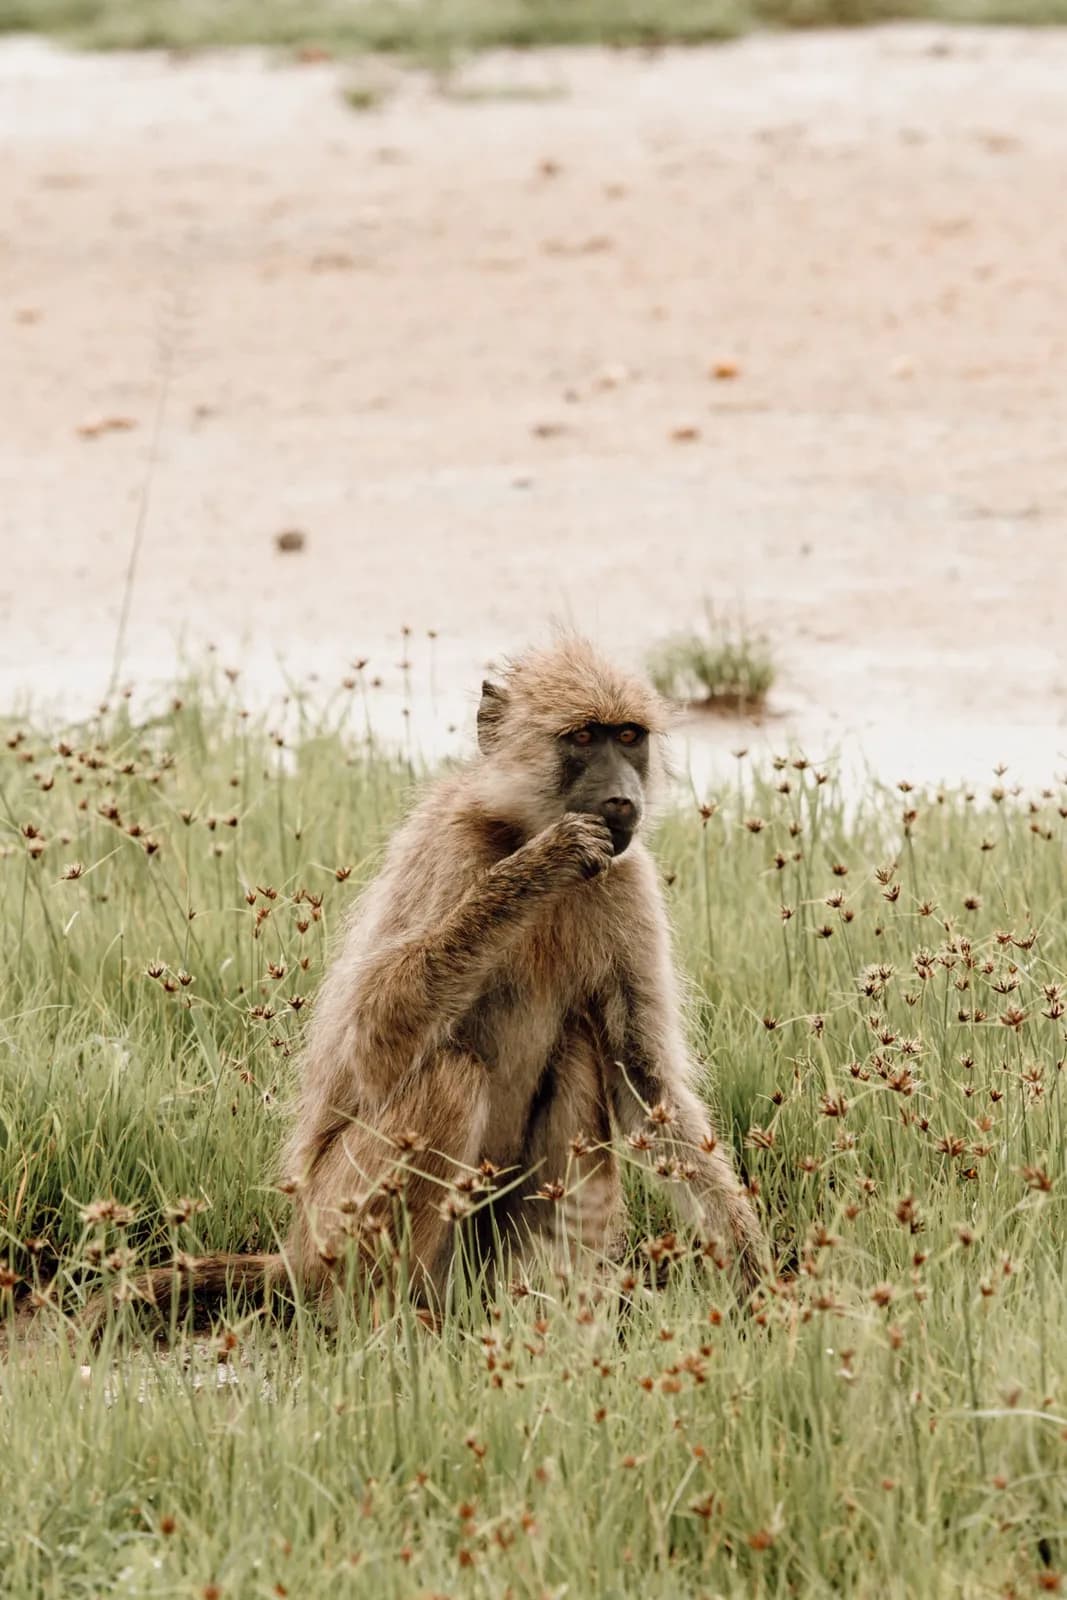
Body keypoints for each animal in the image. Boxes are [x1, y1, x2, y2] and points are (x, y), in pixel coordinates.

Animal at [88, 636, 765, 1330]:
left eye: (628, 736)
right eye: (583, 737)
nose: (624, 800)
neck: (519, 825)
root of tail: (293, 1256)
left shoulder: (628, 881)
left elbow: (646, 1082)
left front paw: (757, 1277)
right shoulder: (447, 849)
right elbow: (372, 1040)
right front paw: (536, 868)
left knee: (579, 1056)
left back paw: (530, 1309)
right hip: (331, 1225)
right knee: (450, 1076)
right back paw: (385, 1322)